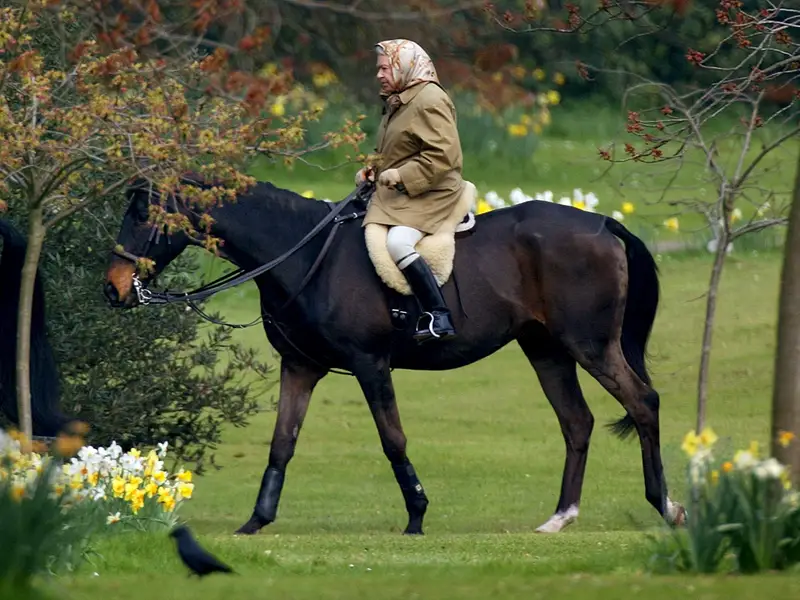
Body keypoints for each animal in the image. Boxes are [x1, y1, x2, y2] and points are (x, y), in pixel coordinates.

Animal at [101, 178, 688, 536]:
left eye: (143, 215)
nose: (113, 289)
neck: (307, 256)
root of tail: (602, 224)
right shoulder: (301, 368)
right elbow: (282, 444)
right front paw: (256, 521)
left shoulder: (369, 364)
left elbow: (392, 440)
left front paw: (416, 516)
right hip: (546, 350)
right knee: (577, 422)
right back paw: (560, 517)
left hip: (590, 346)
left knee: (643, 403)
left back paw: (666, 506)